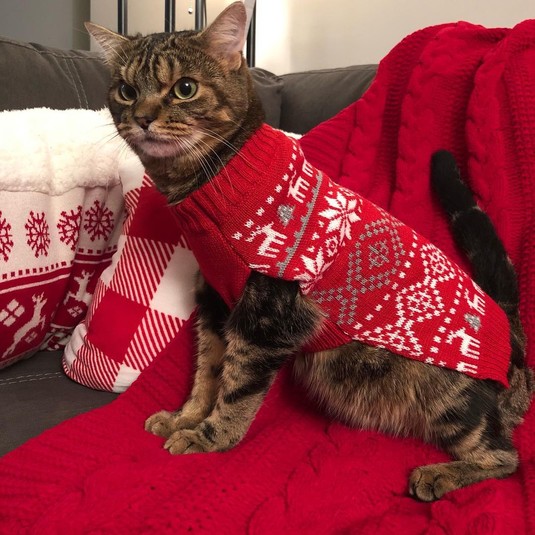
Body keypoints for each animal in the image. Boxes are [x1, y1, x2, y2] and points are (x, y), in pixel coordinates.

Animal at [86, 1, 533, 502]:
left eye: (184, 88)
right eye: (126, 91)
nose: (142, 117)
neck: (208, 185)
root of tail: (511, 327)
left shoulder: (267, 318)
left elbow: (236, 387)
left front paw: (209, 437)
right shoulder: (217, 303)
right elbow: (207, 371)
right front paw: (186, 416)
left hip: (449, 397)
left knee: (504, 456)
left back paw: (438, 474)